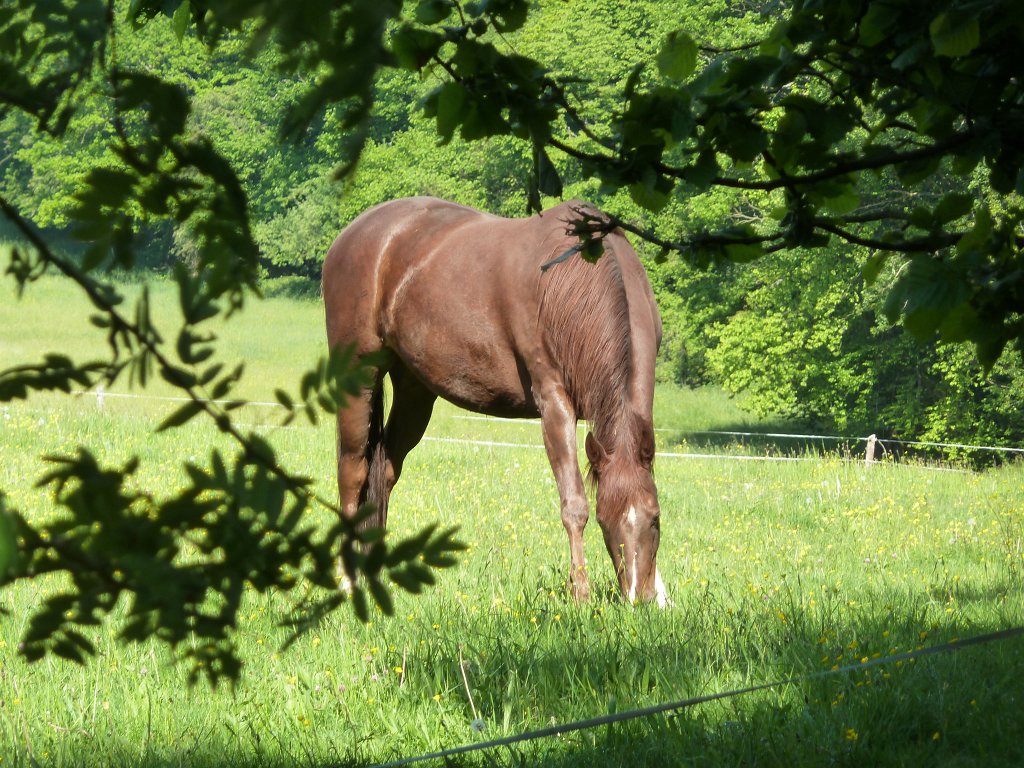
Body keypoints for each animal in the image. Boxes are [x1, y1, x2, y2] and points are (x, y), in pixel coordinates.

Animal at [322, 197, 666, 605]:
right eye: (604, 520)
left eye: (655, 518)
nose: (638, 598)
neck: (574, 282)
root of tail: (351, 235)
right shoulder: (554, 404)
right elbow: (573, 504)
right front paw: (581, 595)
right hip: (357, 377)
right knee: (353, 471)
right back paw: (347, 580)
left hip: (414, 391)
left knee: (384, 471)